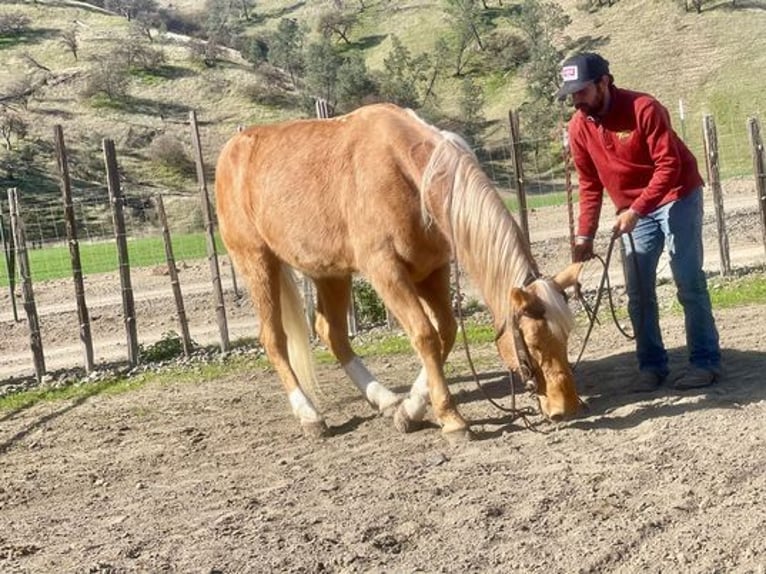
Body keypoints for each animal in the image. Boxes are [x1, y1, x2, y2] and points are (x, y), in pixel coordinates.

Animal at [216, 103, 584, 440]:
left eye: (566, 335)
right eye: (533, 342)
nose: (564, 407)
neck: (412, 176)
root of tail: (231, 150)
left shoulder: (433, 270)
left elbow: (445, 331)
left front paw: (410, 409)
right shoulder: (386, 272)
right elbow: (424, 335)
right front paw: (452, 419)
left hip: (330, 272)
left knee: (331, 332)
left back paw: (385, 399)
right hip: (256, 262)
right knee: (274, 338)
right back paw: (309, 415)